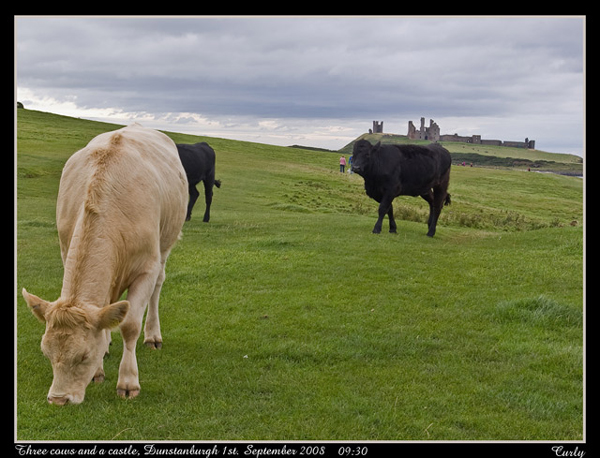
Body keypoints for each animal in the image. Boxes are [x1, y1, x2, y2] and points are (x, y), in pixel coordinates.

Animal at [22, 124, 188, 404]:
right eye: (46, 353)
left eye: (84, 356)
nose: (58, 399)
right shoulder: (66, 251)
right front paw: (99, 368)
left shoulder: (147, 268)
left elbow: (130, 325)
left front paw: (128, 382)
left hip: (166, 243)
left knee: (157, 288)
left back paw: (153, 335)